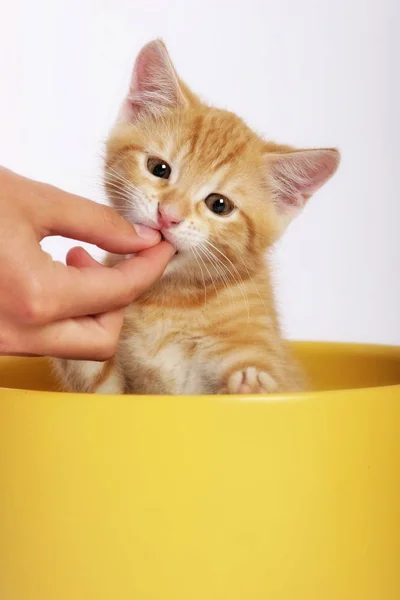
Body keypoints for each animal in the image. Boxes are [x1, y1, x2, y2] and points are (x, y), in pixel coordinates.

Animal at [52, 38, 340, 394]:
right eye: (159, 168)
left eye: (219, 205)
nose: (168, 215)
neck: (170, 300)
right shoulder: (115, 392)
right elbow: (97, 381)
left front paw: (251, 384)